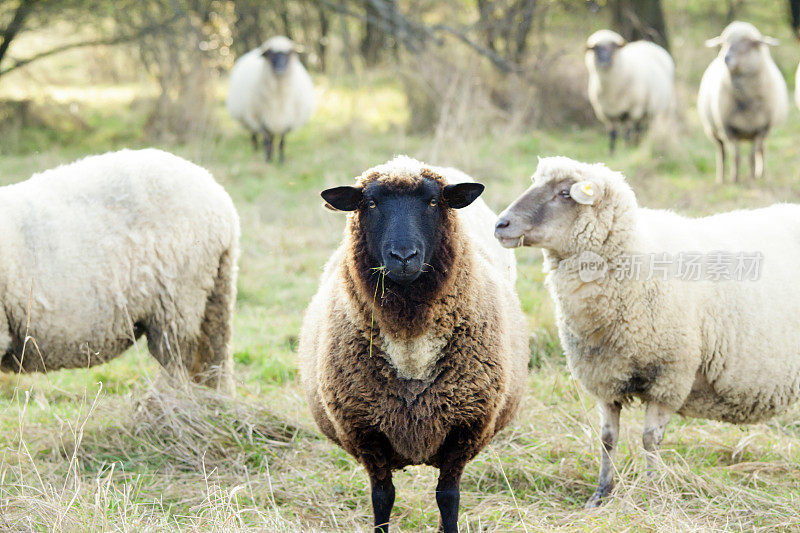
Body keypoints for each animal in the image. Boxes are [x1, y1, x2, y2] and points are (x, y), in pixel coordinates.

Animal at [494, 157, 800, 508]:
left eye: (565, 193)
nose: (500, 224)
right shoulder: (605, 378)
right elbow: (607, 439)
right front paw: (601, 494)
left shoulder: (669, 377)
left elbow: (650, 439)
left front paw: (653, 491)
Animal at [700, 21, 788, 183]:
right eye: (724, 44)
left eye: (748, 44)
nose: (726, 58)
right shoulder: (729, 129)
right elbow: (736, 156)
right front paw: (735, 179)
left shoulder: (761, 129)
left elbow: (752, 156)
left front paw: (753, 178)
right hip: (713, 131)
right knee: (722, 153)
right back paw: (721, 178)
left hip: (764, 132)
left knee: (762, 150)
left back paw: (761, 174)